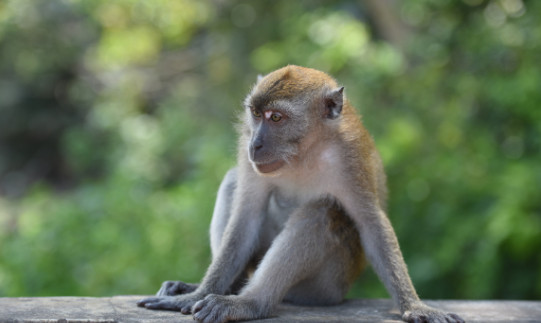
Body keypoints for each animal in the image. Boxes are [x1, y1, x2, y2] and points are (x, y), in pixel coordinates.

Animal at [138, 66, 464, 323]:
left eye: (276, 118)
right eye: (256, 114)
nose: (255, 144)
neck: (303, 152)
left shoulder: (350, 158)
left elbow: (371, 225)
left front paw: (415, 306)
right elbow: (245, 217)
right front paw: (198, 293)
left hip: (325, 287)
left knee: (323, 212)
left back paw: (250, 303)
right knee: (233, 182)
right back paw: (225, 290)